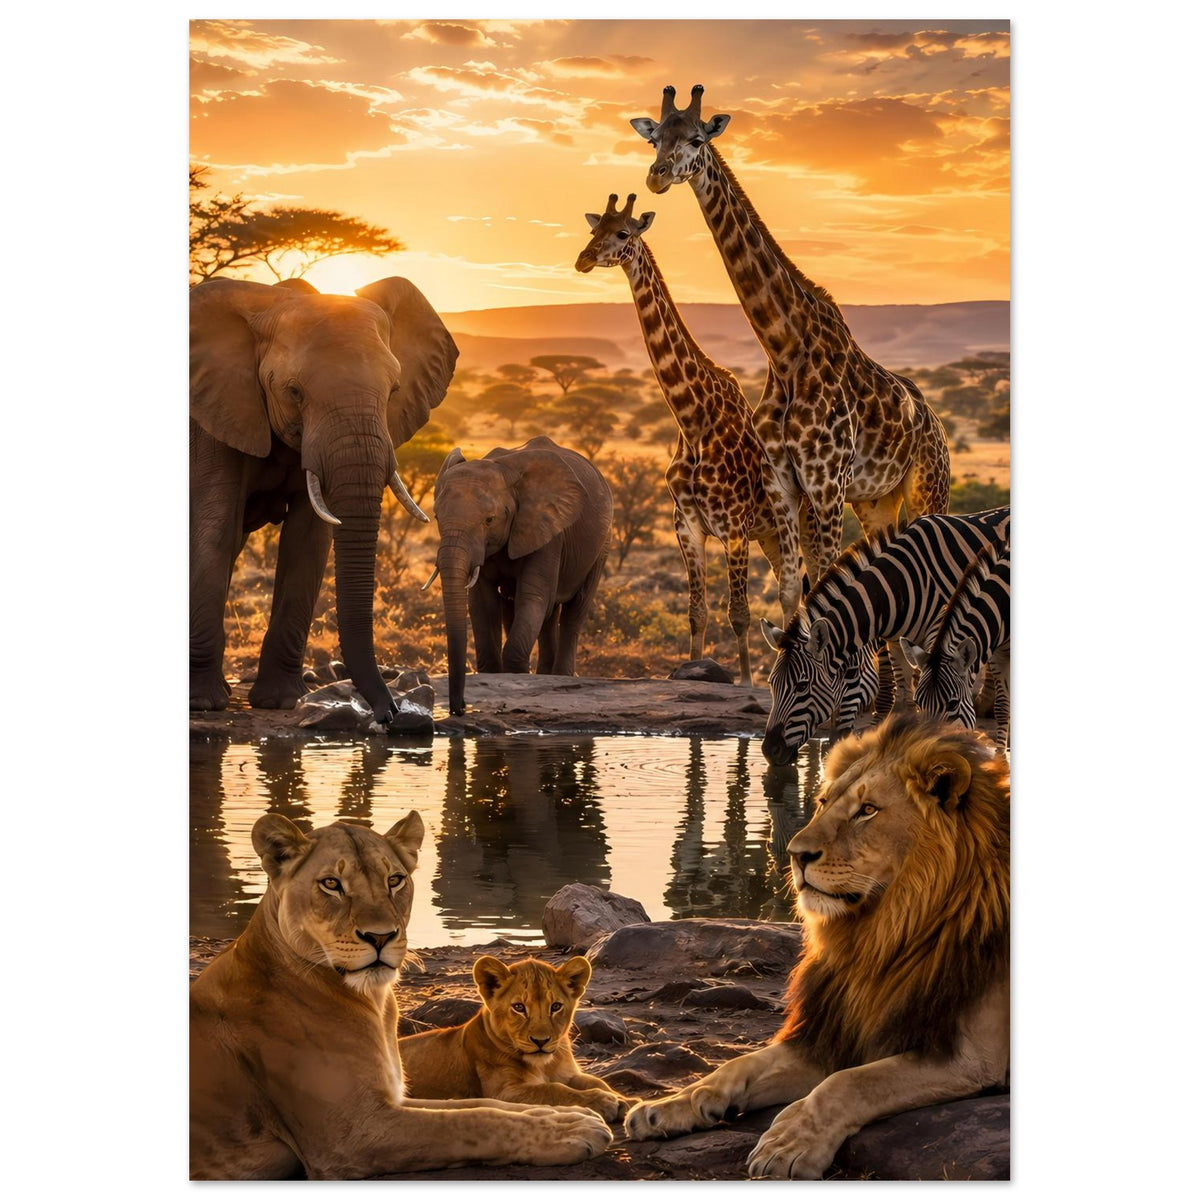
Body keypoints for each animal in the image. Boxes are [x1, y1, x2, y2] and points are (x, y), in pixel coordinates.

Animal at [398, 955, 631, 1121]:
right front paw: (603, 1101)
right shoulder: (503, 1093)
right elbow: (553, 1090)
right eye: (519, 1007)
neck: (544, 1066)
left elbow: (595, 1081)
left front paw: (625, 1100)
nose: (541, 1041)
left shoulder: (568, 1074)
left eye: (555, 1006)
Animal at [625, 712, 1009, 1179]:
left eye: (867, 810)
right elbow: (742, 1063)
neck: (883, 934)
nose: (794, 854)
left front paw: (790, 1142)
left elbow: (851, 1082)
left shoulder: (973, 1058)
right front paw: (672, 1104)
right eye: (824, 802)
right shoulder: (837, 1031)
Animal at [901, 542, 1011, 750]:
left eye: (952, 704)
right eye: (918, 703)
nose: (926, 750)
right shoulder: (998, 654)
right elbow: (1002, 707)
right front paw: (1000, 756)